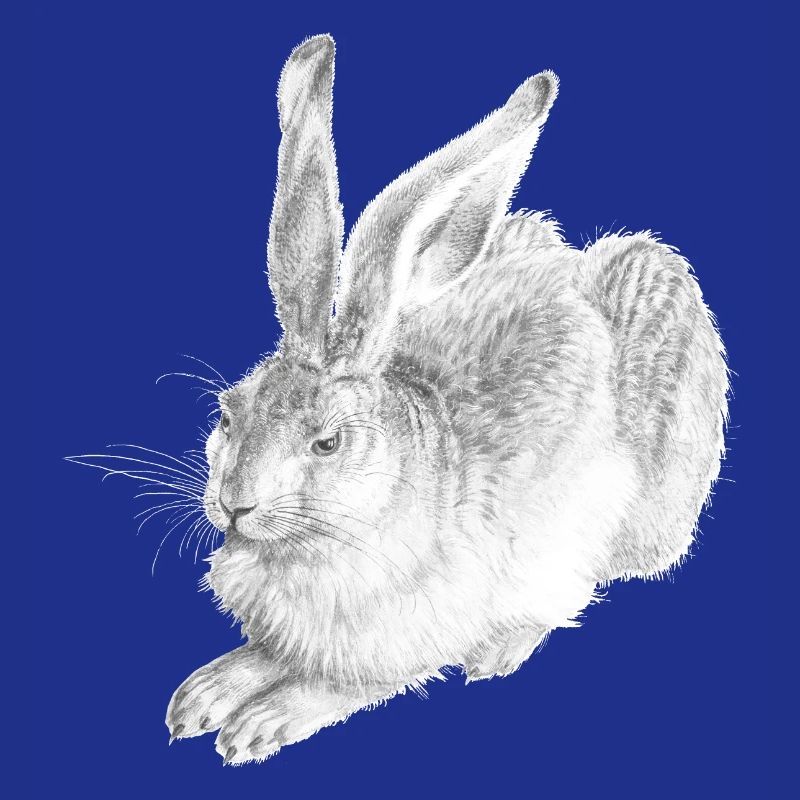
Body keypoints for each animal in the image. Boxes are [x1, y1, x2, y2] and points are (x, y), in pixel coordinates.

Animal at [150, 33, 726, 763]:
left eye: (327, 442)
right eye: (227, 414)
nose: (234, 504)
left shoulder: (417, 631)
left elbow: (345, 682)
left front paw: (262, 721)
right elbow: (266, 654)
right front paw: (205, 693)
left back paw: (501, 650)